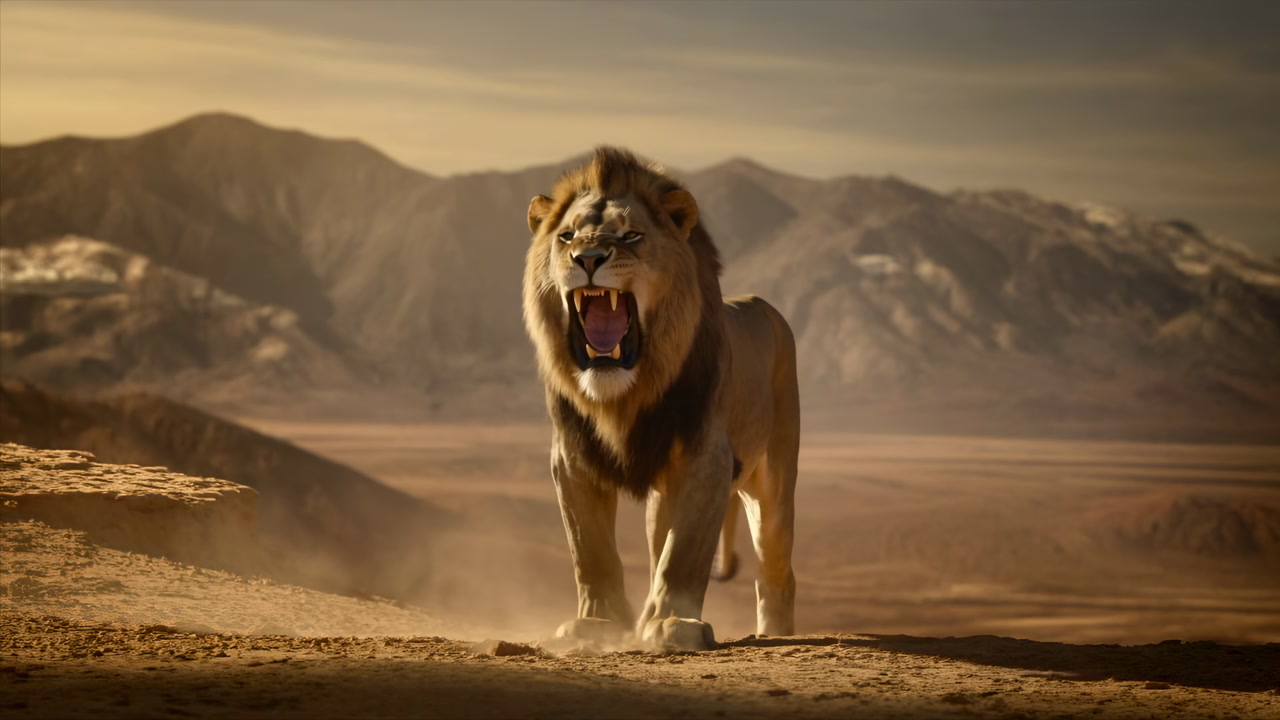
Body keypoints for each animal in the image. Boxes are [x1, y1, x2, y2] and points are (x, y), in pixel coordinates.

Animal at [522, 147, 799, 651]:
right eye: (567, 236)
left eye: (630, 235)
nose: (587, 257)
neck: (622, 397)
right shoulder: (570, 459)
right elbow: (590, 549)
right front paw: (600, 623)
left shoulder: (707, 459)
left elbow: (684, 551)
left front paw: (674, 624)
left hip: (773, 481)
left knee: (775, 566)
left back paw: (773, 634)